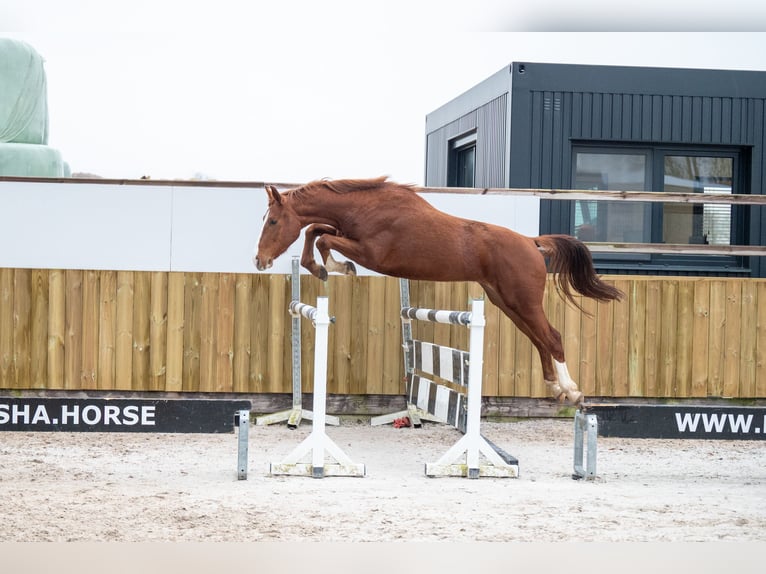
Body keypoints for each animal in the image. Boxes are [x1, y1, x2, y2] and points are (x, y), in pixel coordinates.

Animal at [255, 178, 628, 408]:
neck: (367, 208)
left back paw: (573, 392)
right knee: (539, 339)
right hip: (506, 302)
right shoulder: (347, 235)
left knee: (552, 337)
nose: (260, 260)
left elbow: (321, 237)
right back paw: (555, 387)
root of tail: (530, 242)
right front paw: (323, 268)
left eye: (273, 221)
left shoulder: (372, 254)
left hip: (523, 301)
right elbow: (316, 230)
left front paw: (335, 267)